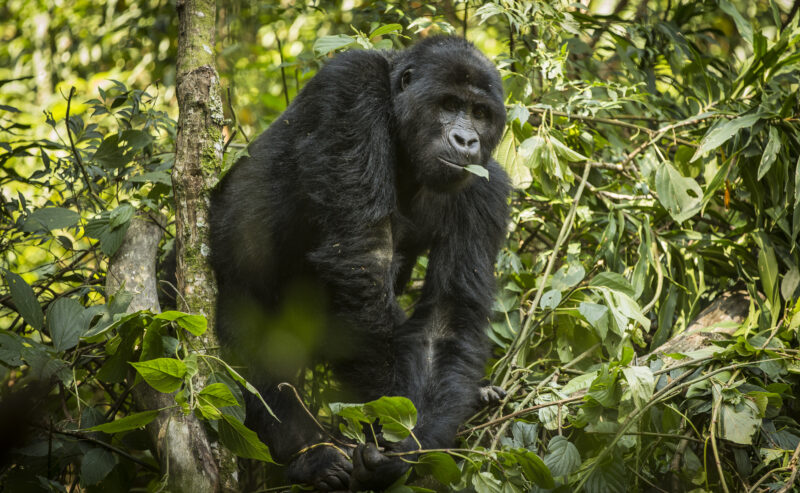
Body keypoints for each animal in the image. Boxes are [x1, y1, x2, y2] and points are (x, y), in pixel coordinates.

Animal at [209, 36, 510, 490]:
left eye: (480, 113)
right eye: (449, 104)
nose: (466, 140)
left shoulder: (485, 189)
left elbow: (447, 315)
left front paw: (406, 448)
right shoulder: (351, 88)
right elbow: (360, 259)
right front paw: (385, 424)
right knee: (251, 349)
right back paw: (310, 454)